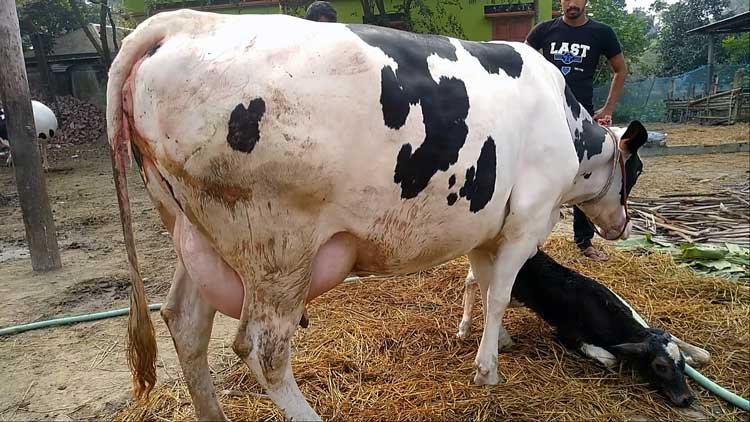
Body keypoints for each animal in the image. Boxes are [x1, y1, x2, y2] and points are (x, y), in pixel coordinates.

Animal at [107, 10, 648, 420]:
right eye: (636, 169)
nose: (623, 225)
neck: (566, 125)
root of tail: (183, 21)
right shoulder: (525, 223)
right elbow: (499, 294)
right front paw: (488, 370)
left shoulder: (485, 227)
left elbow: (483, 283)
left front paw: (494, 342)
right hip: (277, 249)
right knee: (263, 349)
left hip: (194, 234)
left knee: (185, 322)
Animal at [457, 250, 712, 407]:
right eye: (660, 366)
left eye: (679, 365)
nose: (687, 399)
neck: (603, 310)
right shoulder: (567, 334)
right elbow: (610, 358)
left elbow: (694, 350)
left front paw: (694, 355)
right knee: (471, 283)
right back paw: (465, 326)